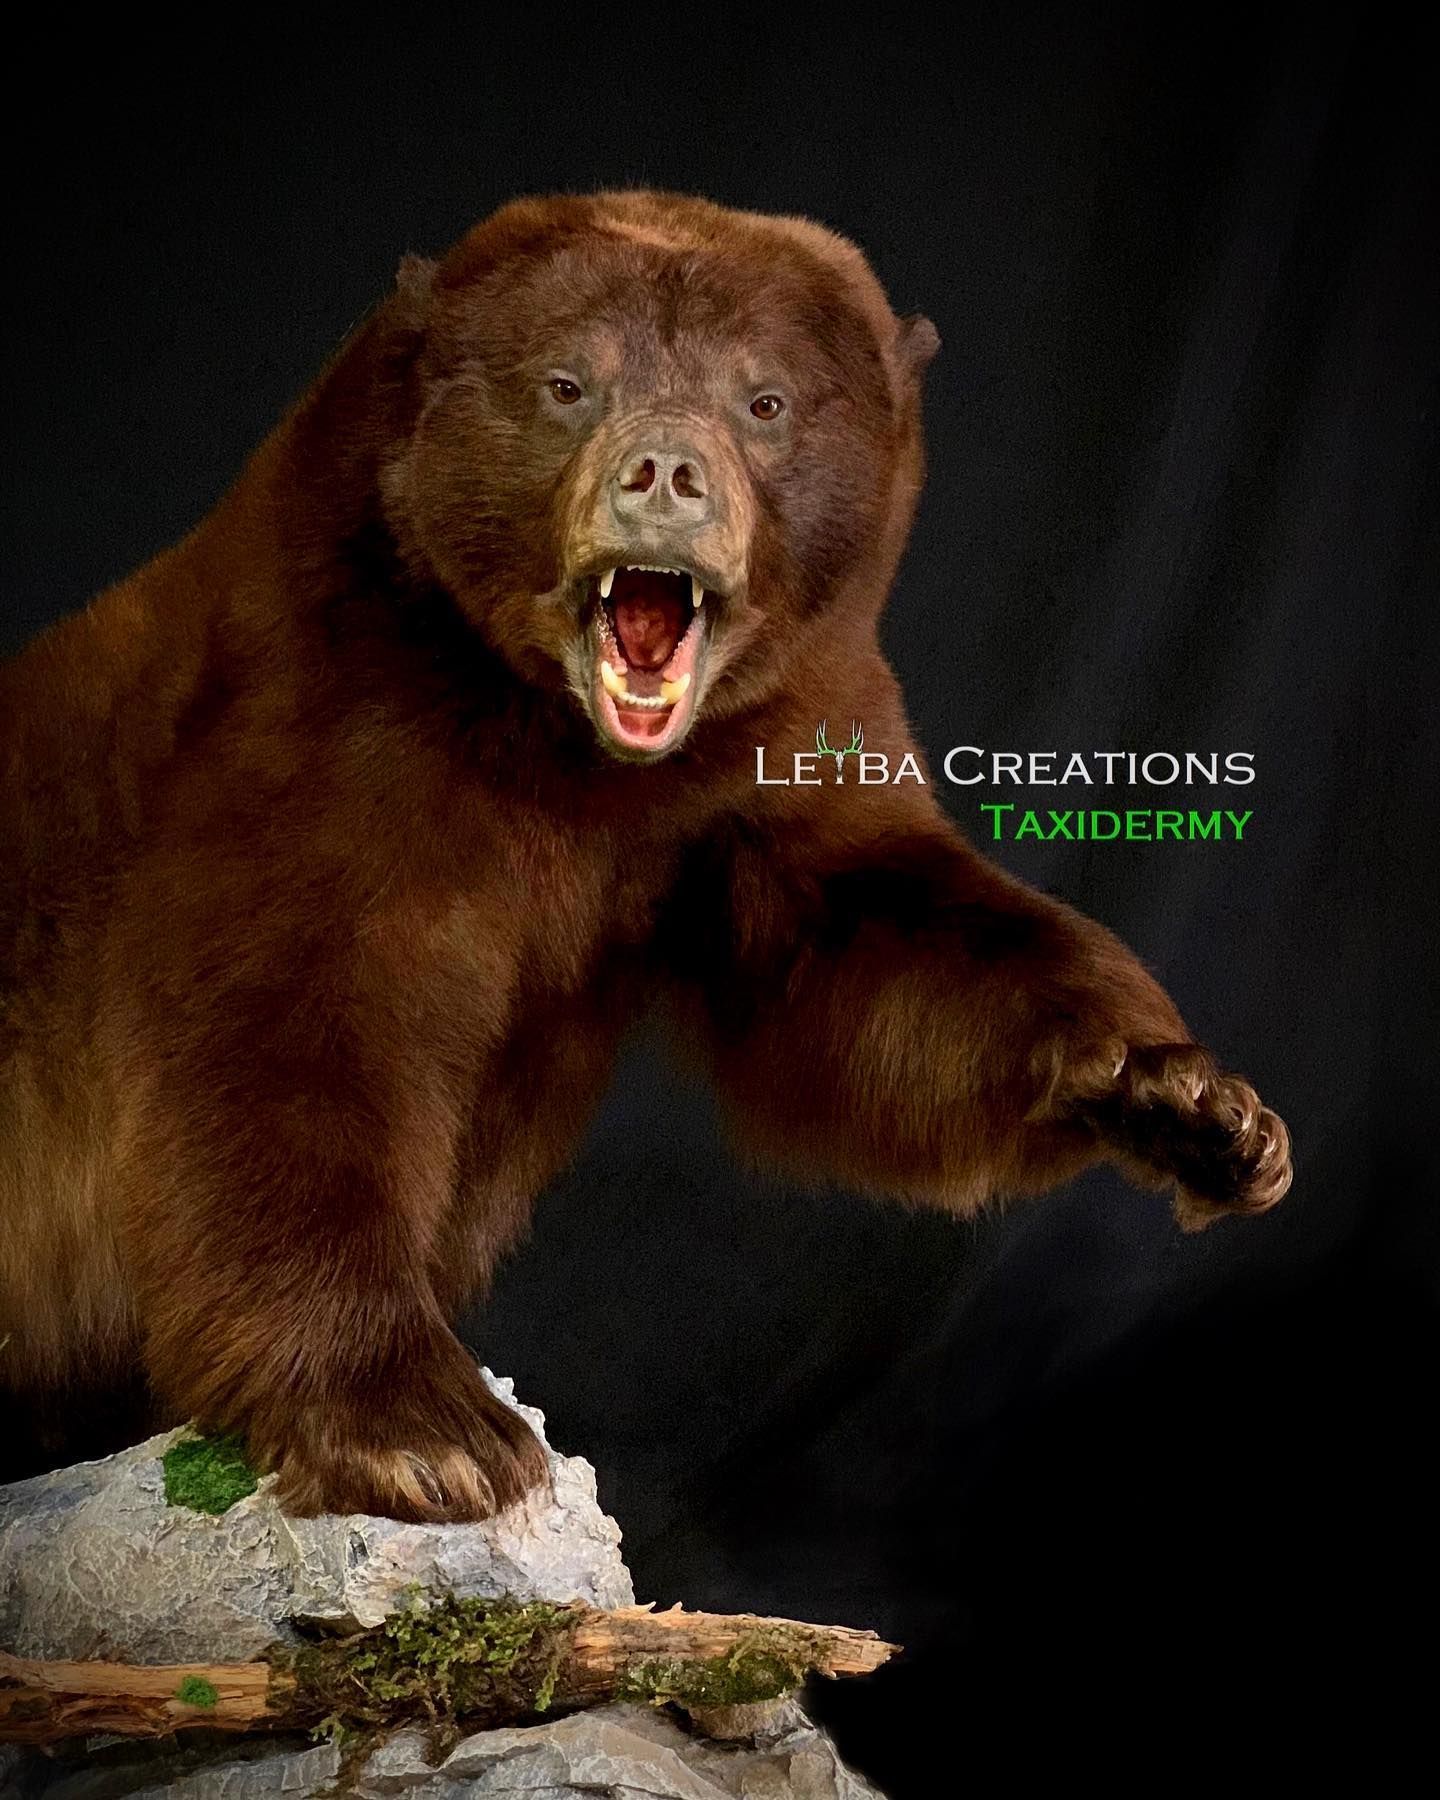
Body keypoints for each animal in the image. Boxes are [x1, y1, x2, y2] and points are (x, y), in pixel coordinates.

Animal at [0, 189, 1292, 1521]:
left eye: (765, 401)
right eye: (569, 384)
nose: (666, 471)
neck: (568, 758)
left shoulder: (760, 764)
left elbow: (875, 948)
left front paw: (1187, 1102)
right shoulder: (320, 723)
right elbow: (283, 1027)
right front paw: (426, 1427)